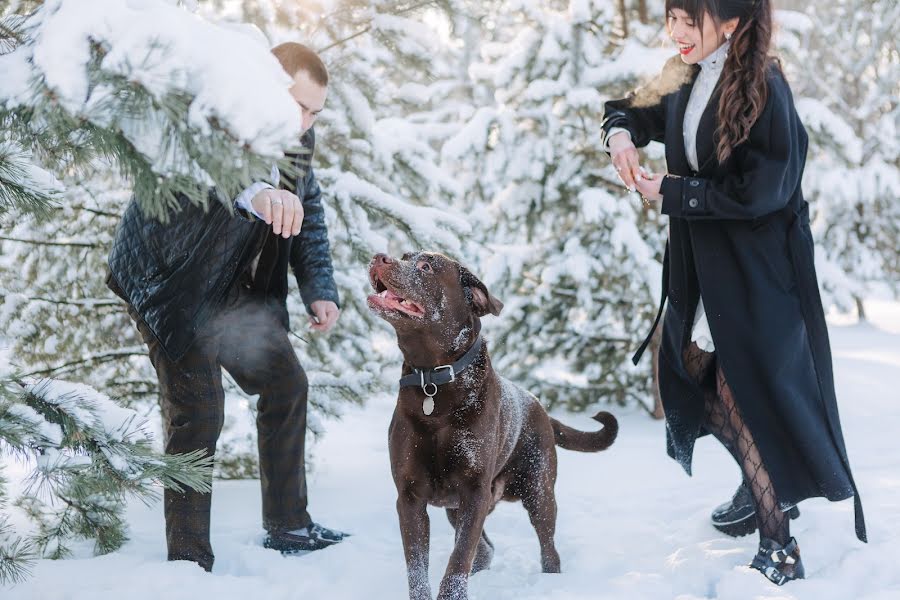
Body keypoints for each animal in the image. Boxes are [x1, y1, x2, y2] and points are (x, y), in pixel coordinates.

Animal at [368, 252, 620, 600]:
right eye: (405, 256)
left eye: (426, 267)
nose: (379, 257)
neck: (434, 383)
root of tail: (538, 405)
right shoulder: (410, 497)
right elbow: (418, 568)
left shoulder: (474, 492)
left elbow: (458, 559)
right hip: (459, 506)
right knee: (485, 549)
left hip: (538, 493)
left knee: (548, 551)